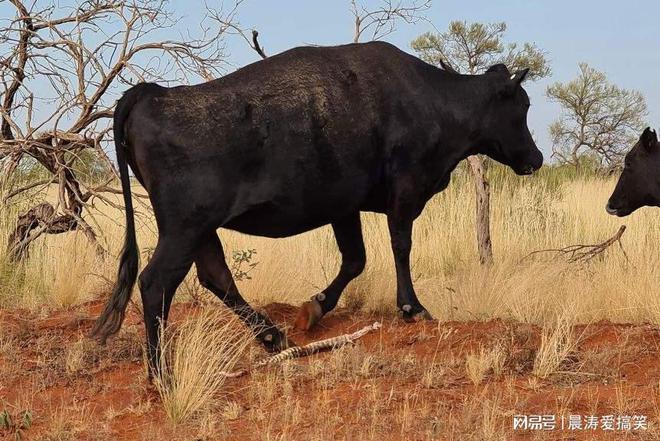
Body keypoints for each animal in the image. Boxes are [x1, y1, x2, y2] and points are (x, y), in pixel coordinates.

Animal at [93, 41, 544, 372]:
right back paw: (160, 373)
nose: (535, 158)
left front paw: (314, 309)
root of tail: (154, 93)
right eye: (522, 107)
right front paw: (412, 307)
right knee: (156, 282)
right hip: (184, 228)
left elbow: (355, 260)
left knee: (216, 277)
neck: (434, 100)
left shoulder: (345, 207)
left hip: (200, 231)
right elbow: (400, 247)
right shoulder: (405, 191)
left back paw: (274, 337)